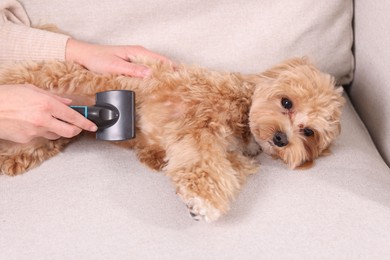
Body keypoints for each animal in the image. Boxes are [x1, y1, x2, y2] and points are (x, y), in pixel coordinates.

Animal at [0, 57, 344, 221]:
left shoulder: (227, 153)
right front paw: (202, 203)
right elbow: (204, 166)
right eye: (286, 102)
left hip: (52, 134)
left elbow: (226, 171)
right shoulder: (199, 131)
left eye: (309, 132)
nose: (282, 138)